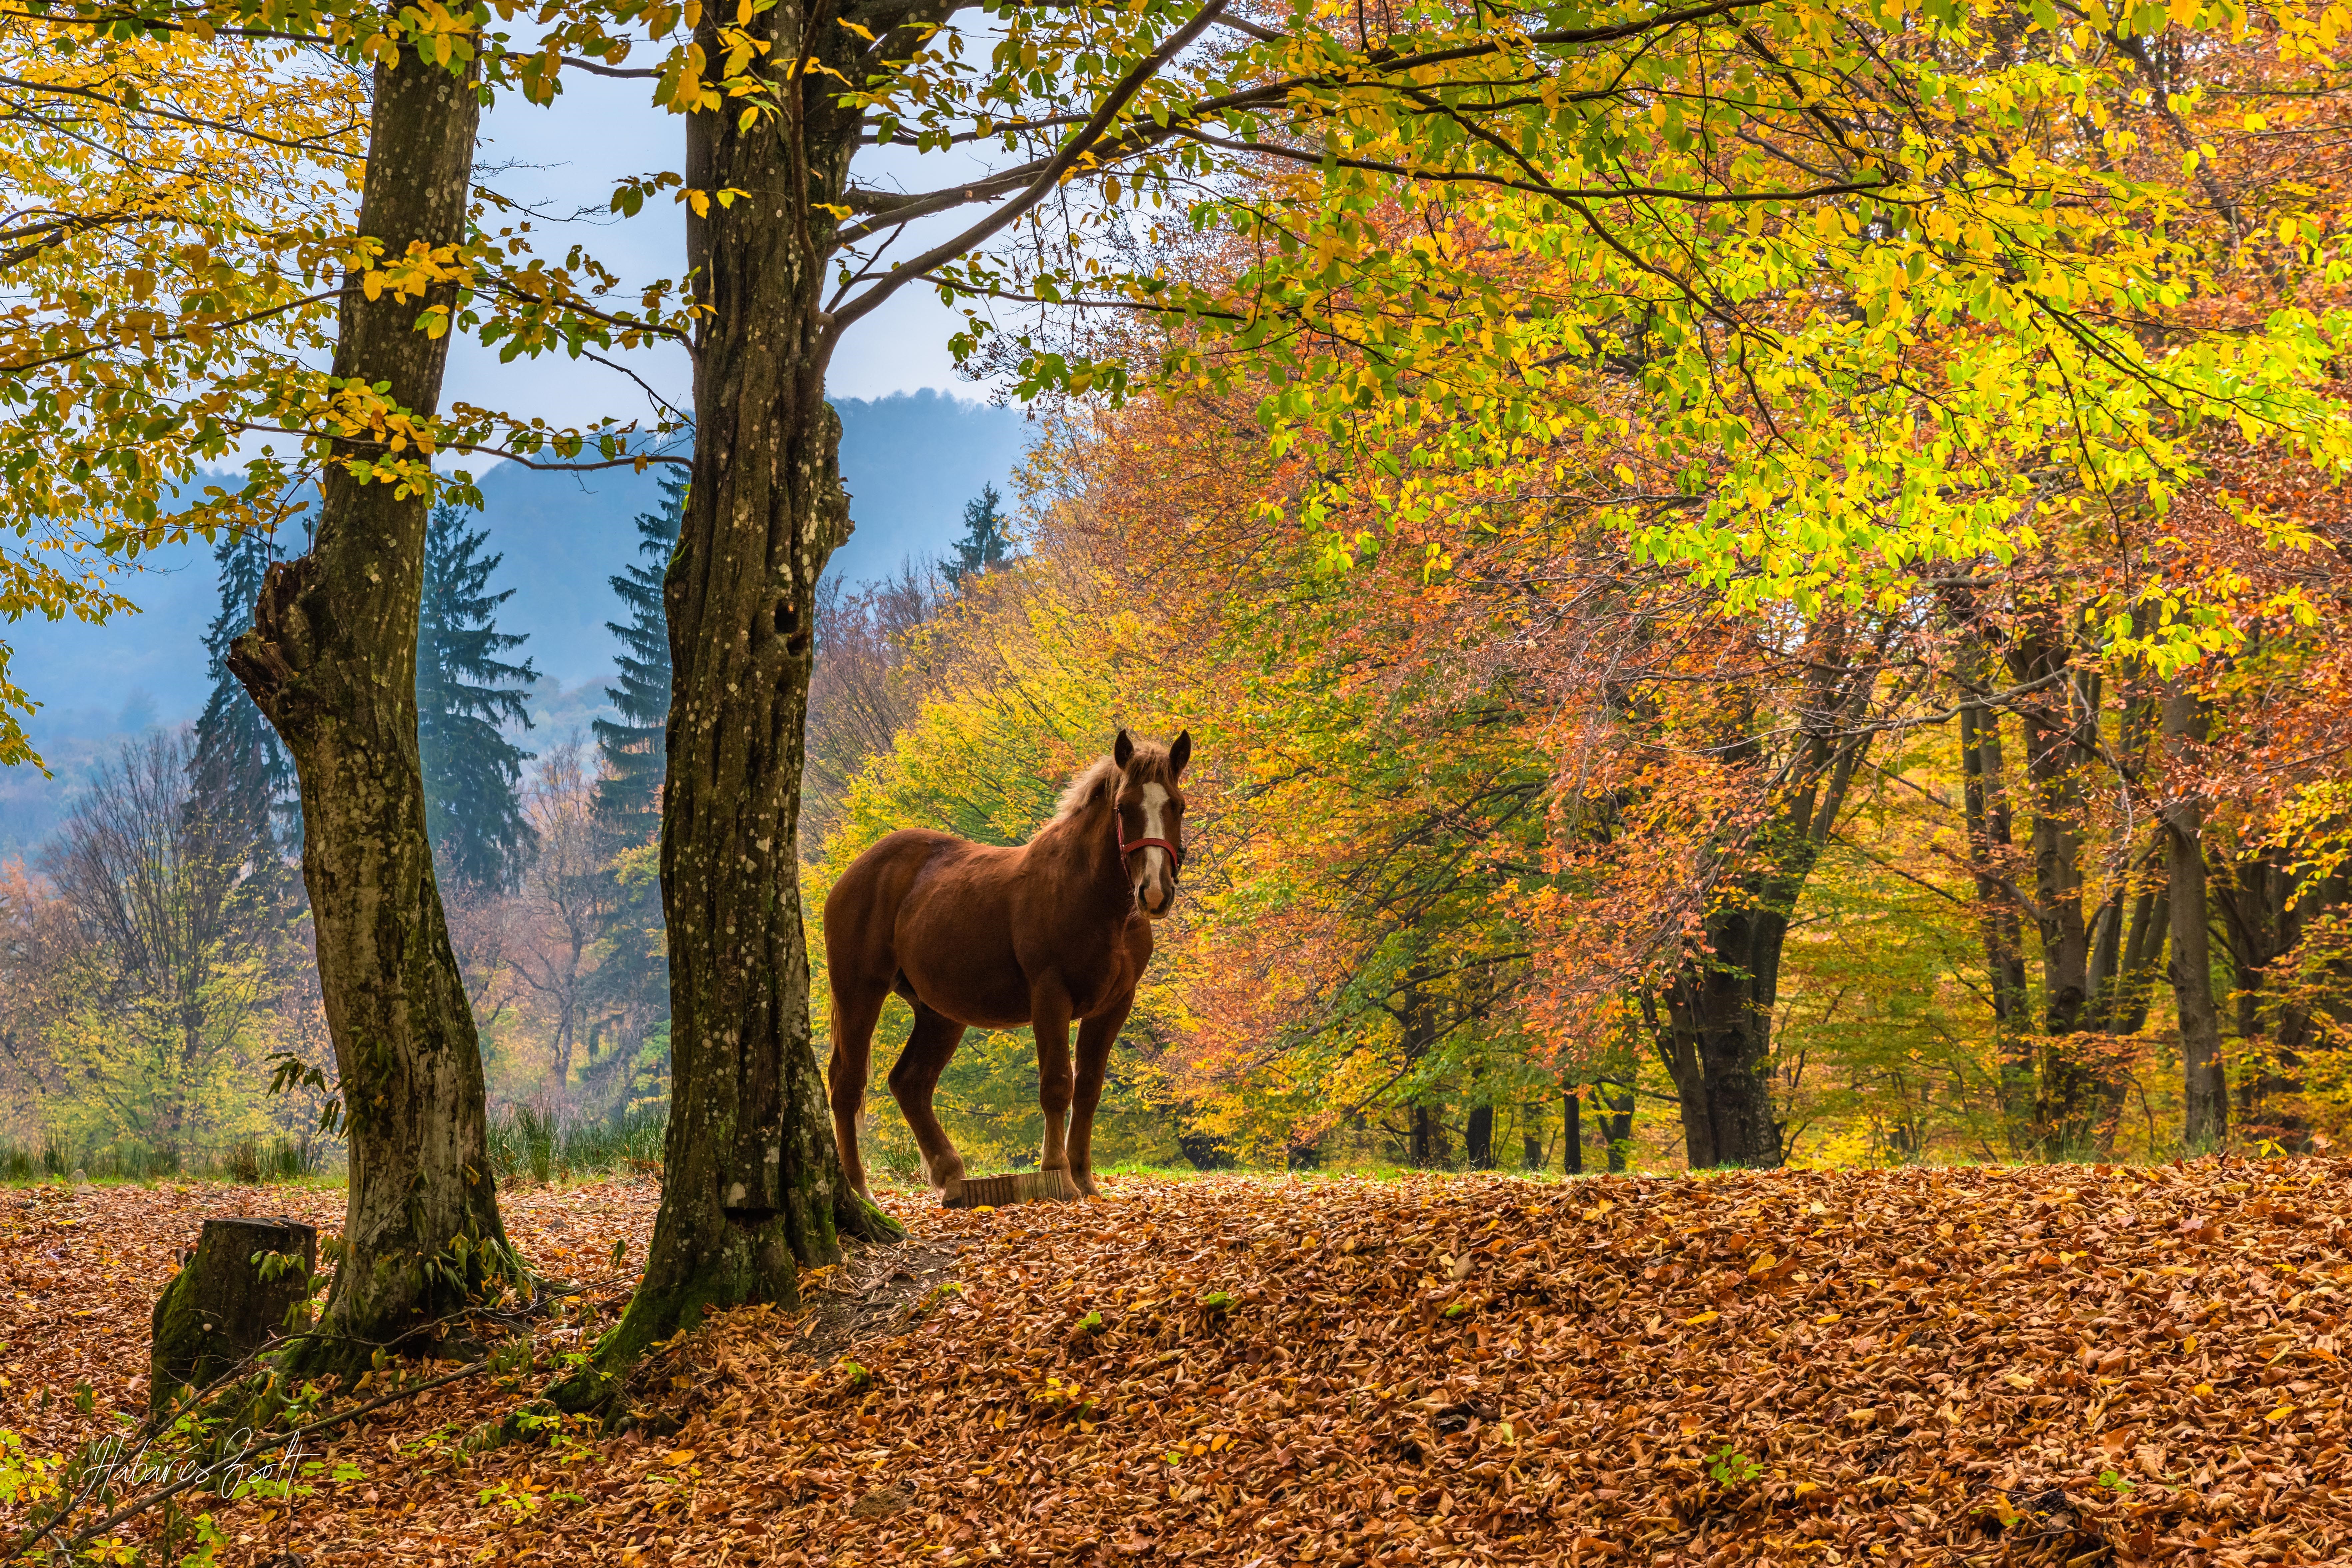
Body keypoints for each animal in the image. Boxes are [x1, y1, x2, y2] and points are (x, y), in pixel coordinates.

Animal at [822, 729, 1192, 1205]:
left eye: (1177, 805)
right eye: (1124, 807)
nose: (1154, 893)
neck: (1094, 897)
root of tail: (856, 872)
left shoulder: (1114, 1006)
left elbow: (1089, 1088)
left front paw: (1084, 1176)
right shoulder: (1051, 996)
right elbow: (1057, 1084)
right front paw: (1058, 1171)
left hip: (939, 1013)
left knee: (910, 1082)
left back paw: (950, 1173)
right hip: (859, 992)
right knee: (847, 1084)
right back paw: (859, 1187)